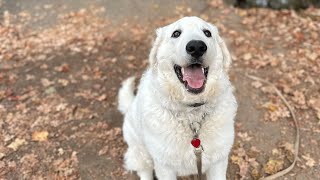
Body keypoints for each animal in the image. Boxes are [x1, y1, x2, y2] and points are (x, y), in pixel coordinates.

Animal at [118, 16, 238, 179]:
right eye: (176, 33)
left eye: (207, 33)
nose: (197, 46)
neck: (192, 114)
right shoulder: (164, 166)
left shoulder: (218, 162)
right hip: (141, 153)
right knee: (144, 171)